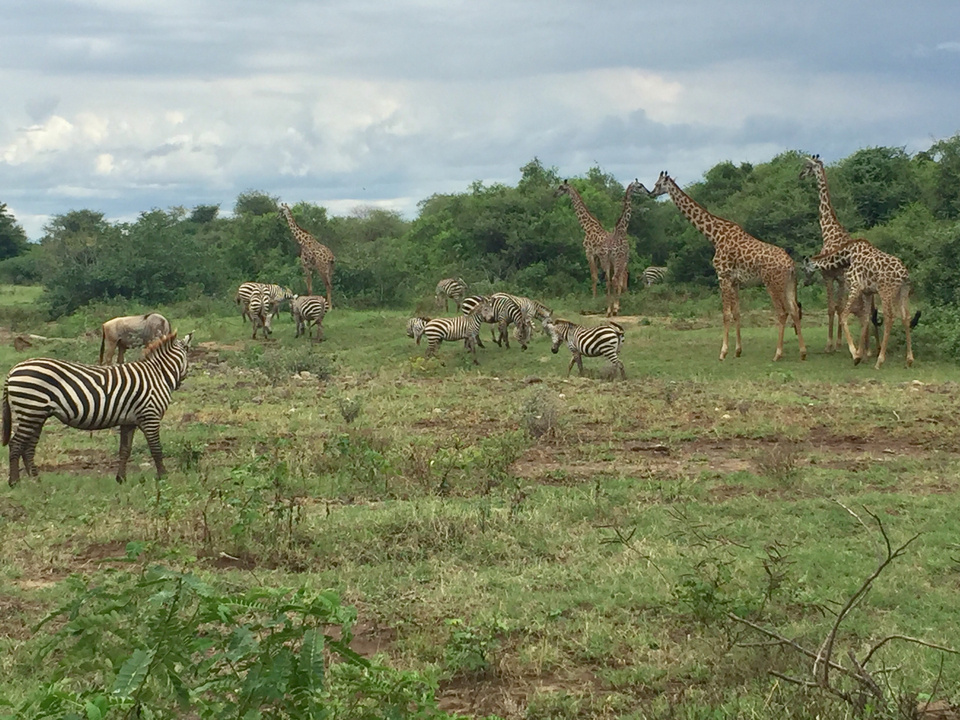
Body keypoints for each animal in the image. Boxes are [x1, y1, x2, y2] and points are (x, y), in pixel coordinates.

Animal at [2, 331, 194, 486]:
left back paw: (36, 480)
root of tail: (13, 369)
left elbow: (125, 450)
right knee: (16, 444)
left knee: (28, 447)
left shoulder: (129, 421)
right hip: (31, 410)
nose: (180, 383)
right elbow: (156, 448)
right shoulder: (150, 415)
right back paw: (14, 482)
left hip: (37, 414)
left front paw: (121, 479)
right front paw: (163, 477)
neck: (158, 374)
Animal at [650, 171, 806, 362]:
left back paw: (777, 354)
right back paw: (803, 352)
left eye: (658, 184)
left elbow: (725, 314)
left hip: (773, 284)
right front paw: (738, 350)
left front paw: (723, 352)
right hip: (790, 284)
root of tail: (791, 264)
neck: (715, 236)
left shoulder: (722, 276)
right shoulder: (735, 281)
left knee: (782, 312)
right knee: (794, 309)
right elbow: (737, 313)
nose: (651, 193)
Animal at [799, 154, 879, 354]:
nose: (800, 175)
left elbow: (833, 308)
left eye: (807, 166)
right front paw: (838, 343)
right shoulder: (838, 279)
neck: (829, 231)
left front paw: (831, 344)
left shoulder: (830, 276)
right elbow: (838, 307)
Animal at [809, 239, 915, 369]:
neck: (848, 255)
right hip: (903, 291)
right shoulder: (867, 292)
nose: (807, 280)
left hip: (886, 291)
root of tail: (904, 275)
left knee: (889, 318)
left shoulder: (855, 286)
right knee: (906, 317)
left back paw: (879, 361)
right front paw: (861, 354)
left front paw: (856, 355)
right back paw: (909, 360)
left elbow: (844, 316)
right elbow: (865, 318)